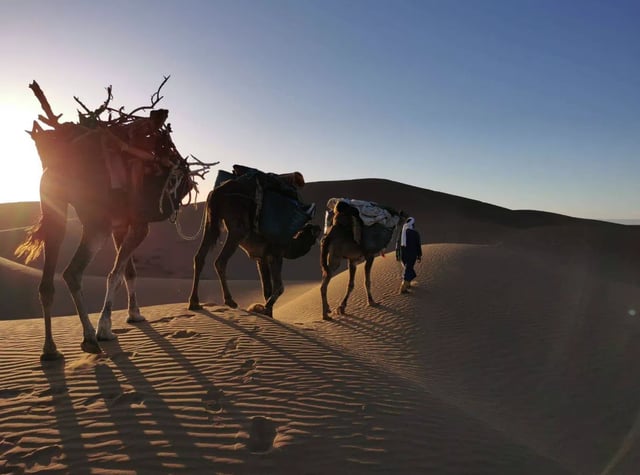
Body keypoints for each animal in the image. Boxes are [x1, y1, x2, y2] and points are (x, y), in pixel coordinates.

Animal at [15, 80, 206, 360]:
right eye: (167, 146)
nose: (183, 175)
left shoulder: (122, 226)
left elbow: (129, 271)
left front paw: (135, 314)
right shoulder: (139, 225)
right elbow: (115, 273)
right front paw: (105, 328)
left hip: (54, 211)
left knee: (47, 282)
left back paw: (50, 350)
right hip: (96, 224)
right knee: (72, 272)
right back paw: (89, 339)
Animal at [188, 168, 321, 317]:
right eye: (313, 230)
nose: (320, 227)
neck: (290, 245)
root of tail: (218, 191)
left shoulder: (261, 258)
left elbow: (267, 290)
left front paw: (268, 313)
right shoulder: (276, 254)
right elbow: (279, 287)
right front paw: (264, 308)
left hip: (211, 221)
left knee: (199, 257)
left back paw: (194, 303)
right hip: (238, 229)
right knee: (220, 261)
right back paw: (230, 301)